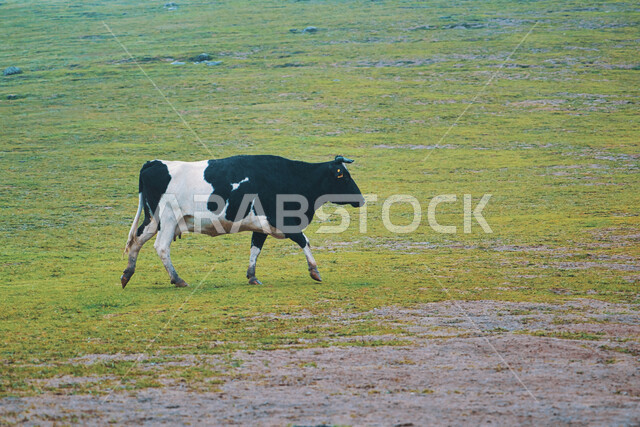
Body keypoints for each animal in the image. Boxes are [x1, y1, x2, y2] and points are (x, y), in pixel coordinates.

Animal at [121, 155, 365, 288]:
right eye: (343, 176)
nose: (361, 199)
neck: (290, 177)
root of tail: (154, 163)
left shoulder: (261, 226)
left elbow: (255, 249)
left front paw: (252, 276)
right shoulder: (281, 221)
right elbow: (304, 240)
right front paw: (314, 271)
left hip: (154, 220)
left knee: (136, 240)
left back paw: (127, 274)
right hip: (169, 219)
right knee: (161, 247)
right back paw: (177, 279)